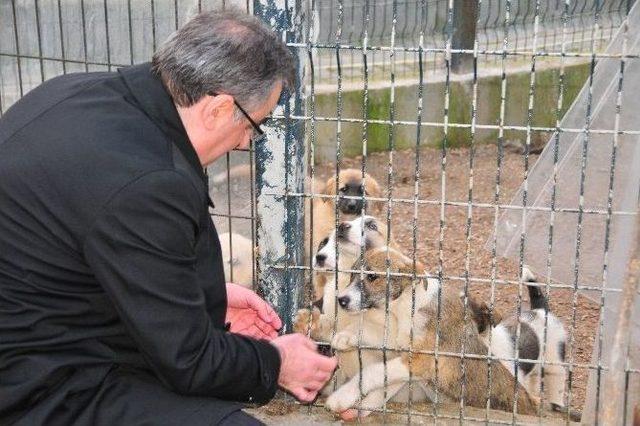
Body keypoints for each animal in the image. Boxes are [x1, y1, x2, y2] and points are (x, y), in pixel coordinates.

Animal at [324, 248, 540, 418]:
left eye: (371, 277)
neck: (406, 306)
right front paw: (346, 336)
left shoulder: (419, 360)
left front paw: (341, 398)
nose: (341, 300)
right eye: (351, 276)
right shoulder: (400, 346)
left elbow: (372, 372)